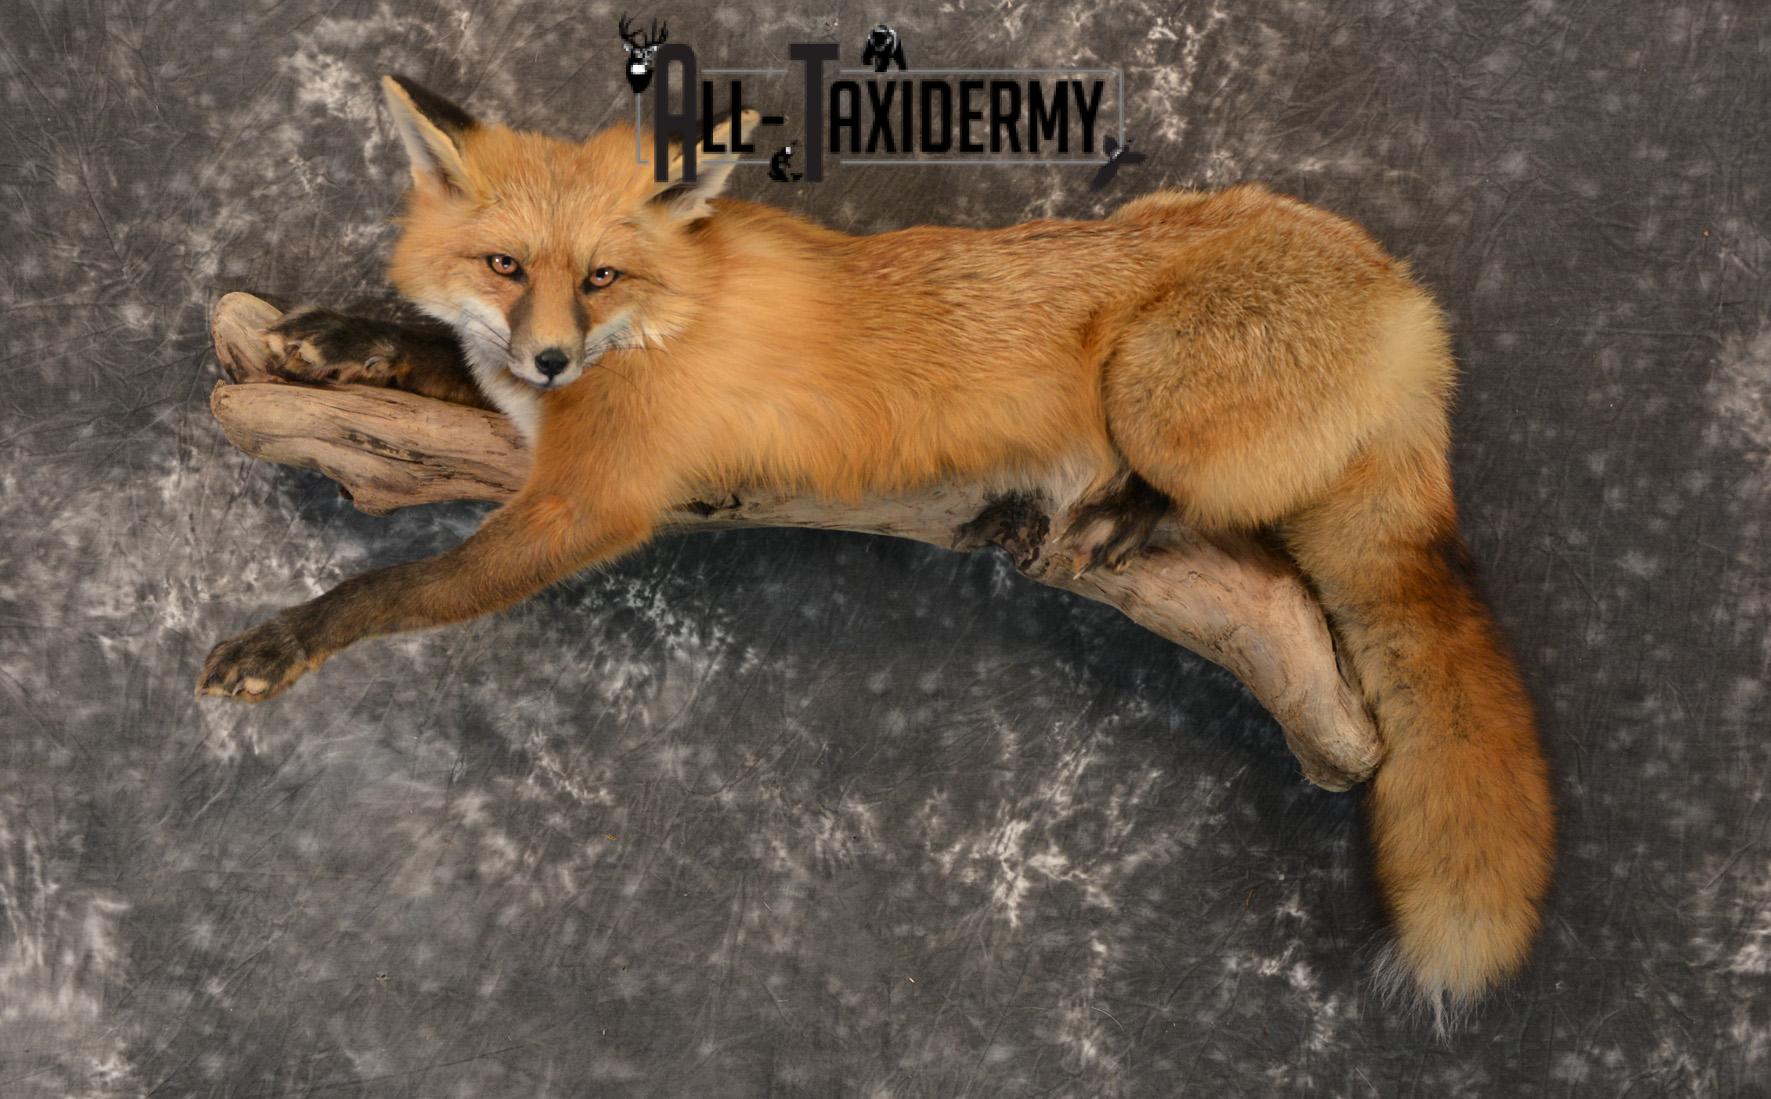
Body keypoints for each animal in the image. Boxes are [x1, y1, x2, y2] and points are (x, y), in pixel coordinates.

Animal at [198, 74, 1554, 1029]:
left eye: (601, 274)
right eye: (504, 264)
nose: (548, 354)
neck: (662, 318)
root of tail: (1409, 311)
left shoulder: (593, 502)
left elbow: (397, 583)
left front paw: (283, 639)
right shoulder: (534, 418)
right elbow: (439, 358)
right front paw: (342, 338)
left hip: (1154, 382)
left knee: (1224, 505)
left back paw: (1113, 509)